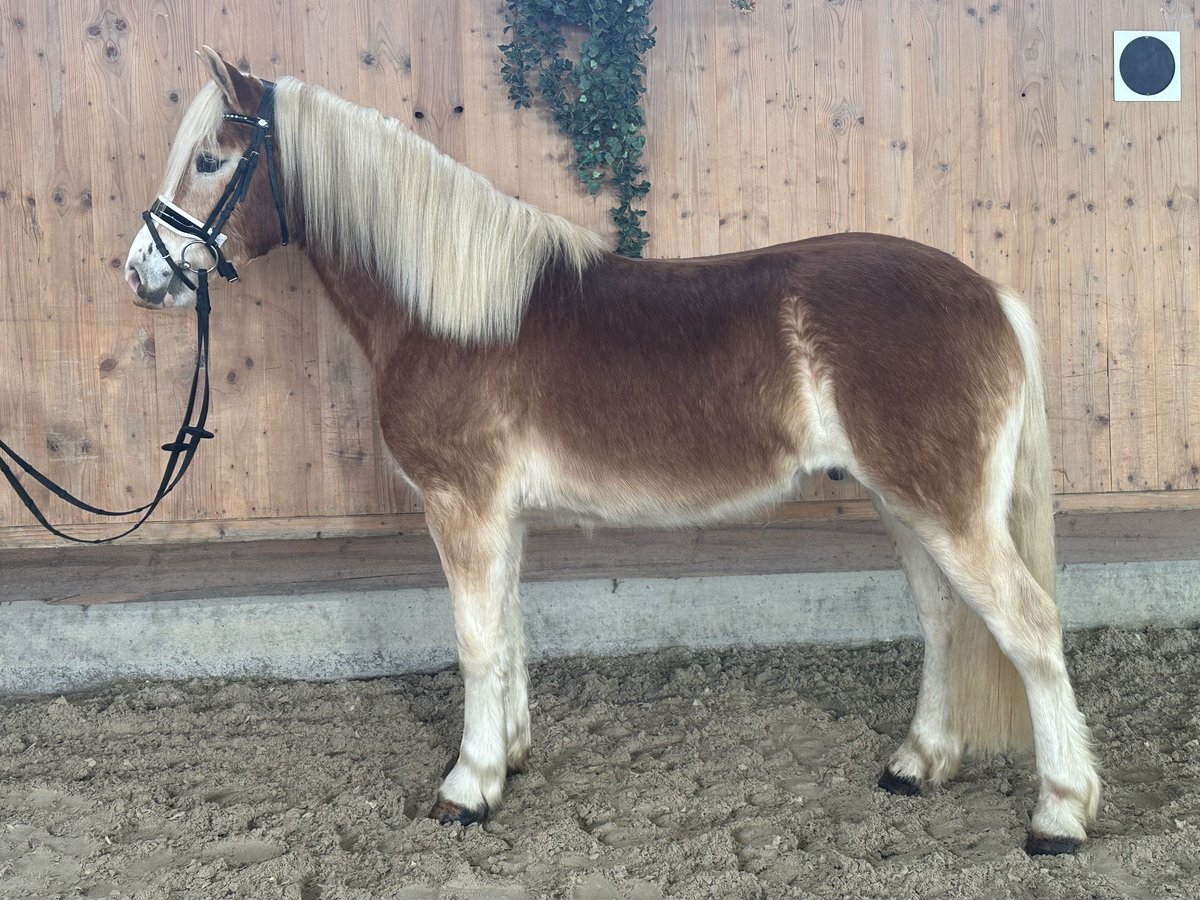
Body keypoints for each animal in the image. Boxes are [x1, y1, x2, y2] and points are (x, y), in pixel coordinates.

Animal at [124, 47, 1099, 854]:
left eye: (211, 158)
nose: (141, 271)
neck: (451, 311)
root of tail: (990, 295)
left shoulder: (462, 507)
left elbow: (474, 643)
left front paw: (467, 789)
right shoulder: (499, 515)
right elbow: (509, 632)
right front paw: (509, 756)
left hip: (946, 509)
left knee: (1029, 627)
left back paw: (1058, 814)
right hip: (906, 504)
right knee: (945, 621)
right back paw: (919, 762)